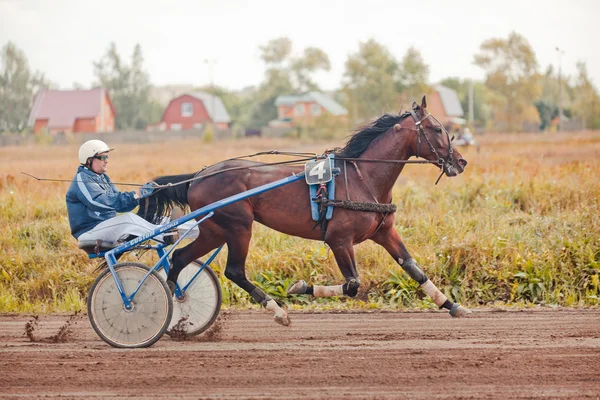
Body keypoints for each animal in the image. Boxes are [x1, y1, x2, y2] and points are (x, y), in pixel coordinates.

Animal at [138, 97, 472, 324]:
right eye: (438, 128)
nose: (461, 161)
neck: (362, 177)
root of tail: (198, 175)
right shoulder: (339, 240)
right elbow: (352, 285)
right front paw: (300, 287)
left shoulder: (385, 232)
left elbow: (414, 269)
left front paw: (452, 306)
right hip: (238, 225)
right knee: (234, 270)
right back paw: (276, 310)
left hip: (214, 230)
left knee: (180, 258)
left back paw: (174, 310)